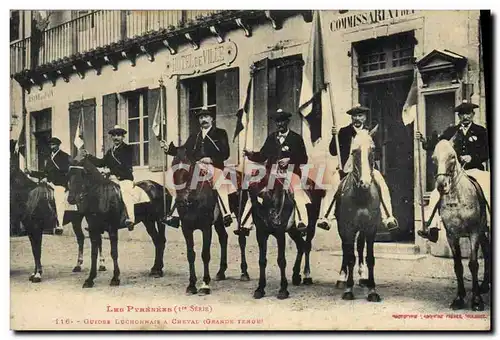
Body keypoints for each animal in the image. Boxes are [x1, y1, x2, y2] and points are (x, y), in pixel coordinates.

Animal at [336, 127, 382, 300]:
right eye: (354, 151)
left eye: (373, 149)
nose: (365, 183)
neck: (362, 195)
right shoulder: (347, 228)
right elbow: (350, 257)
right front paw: (348, 289)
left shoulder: (370, 228)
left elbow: (370, 258)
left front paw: (372, 290)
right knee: (345, 249)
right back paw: (342, 278)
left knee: (360, 246)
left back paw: (363, 277)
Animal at [432, 139, 490, 310]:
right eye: (433, 158)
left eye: (452, 156)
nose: (441, 185)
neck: (457, 199)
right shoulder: (452, 235)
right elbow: (458, 265)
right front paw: (459, 297)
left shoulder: (474, 232)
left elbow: (473, 264)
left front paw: (476, 300)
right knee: (487, 250)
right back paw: (485, 285)